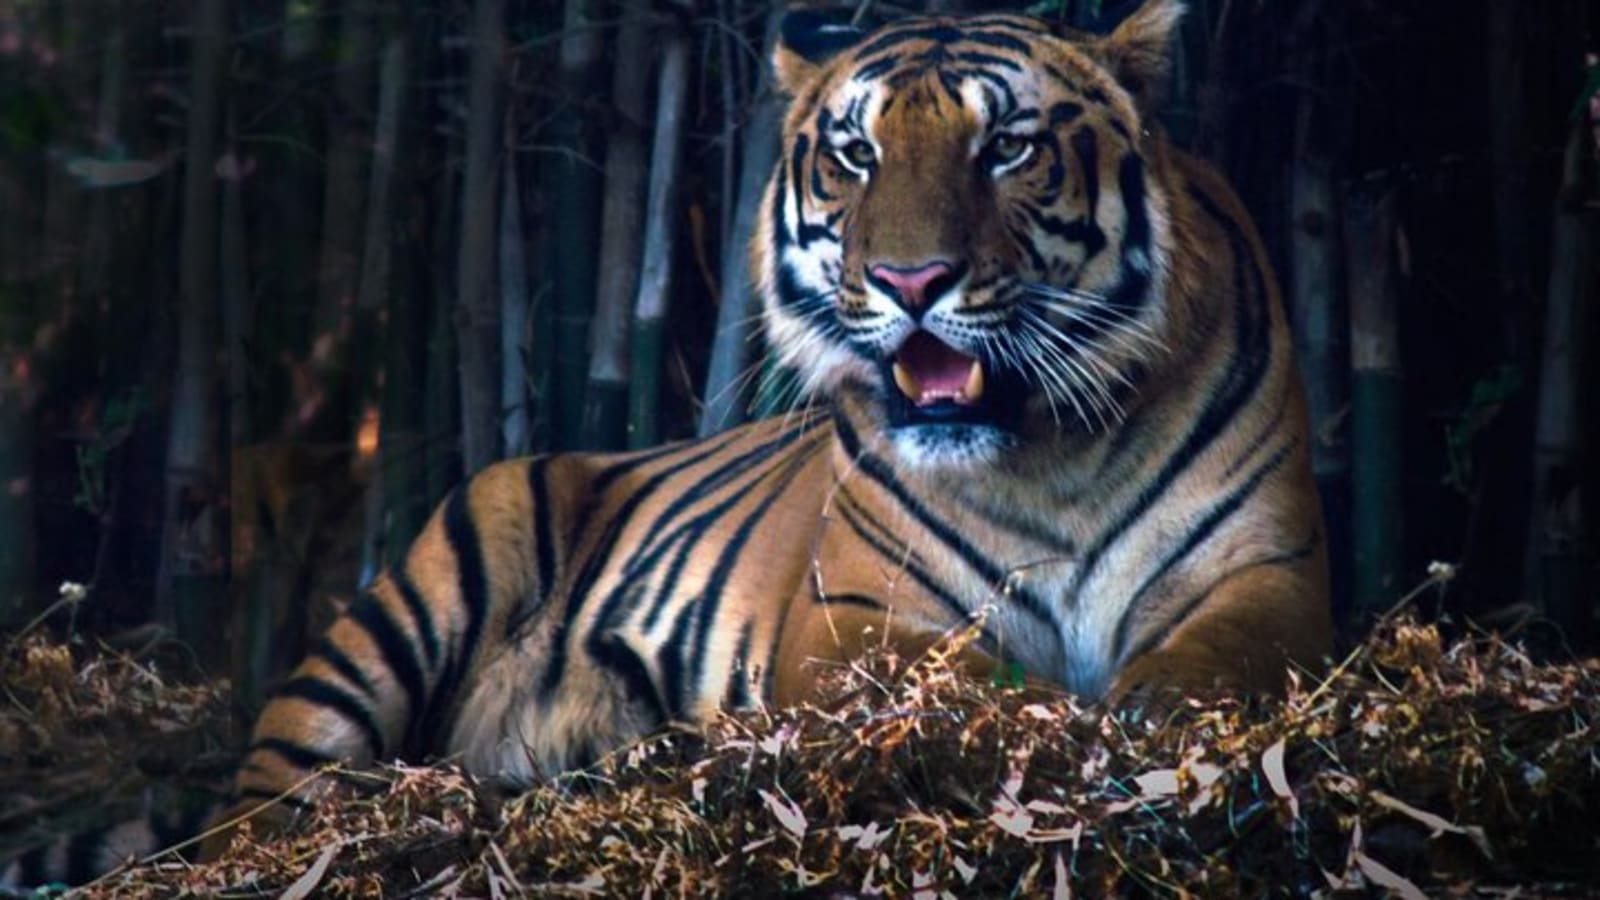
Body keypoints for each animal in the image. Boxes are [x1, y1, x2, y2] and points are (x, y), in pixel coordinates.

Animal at [214, 0, 1331, 849]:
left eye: (1007, 147)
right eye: (857, 154)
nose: (911, 281)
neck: (1052, 456)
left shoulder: (1270, 570)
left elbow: (1219, 654)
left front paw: (1144, 712)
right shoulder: (853, 613)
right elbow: (959, 683)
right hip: (416, 603)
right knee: (266, 795)